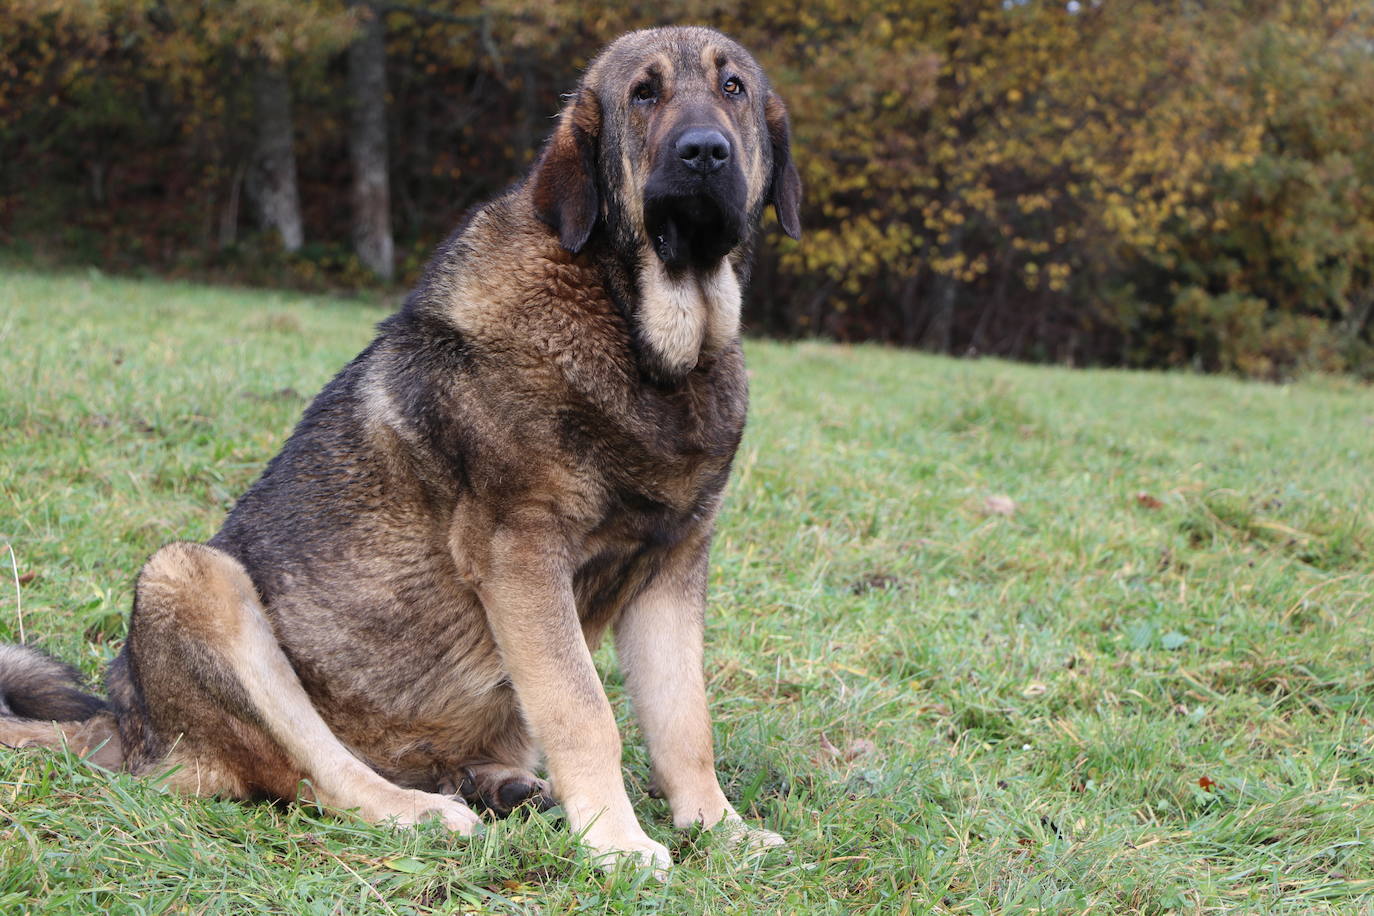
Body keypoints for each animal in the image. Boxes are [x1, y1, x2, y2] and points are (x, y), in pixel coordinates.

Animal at [0, 25, 802, 873]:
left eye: (733, 88)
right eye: (644, 94)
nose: (704, 152)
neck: (646, 336)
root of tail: (125, 727)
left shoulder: (672, 566)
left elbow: (685, 722)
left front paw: (718, 828)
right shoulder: (522, 552)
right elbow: (585, 711)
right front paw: (617, 843)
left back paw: (505, 787)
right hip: (189, 577)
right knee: (322, 774)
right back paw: (426, 811)